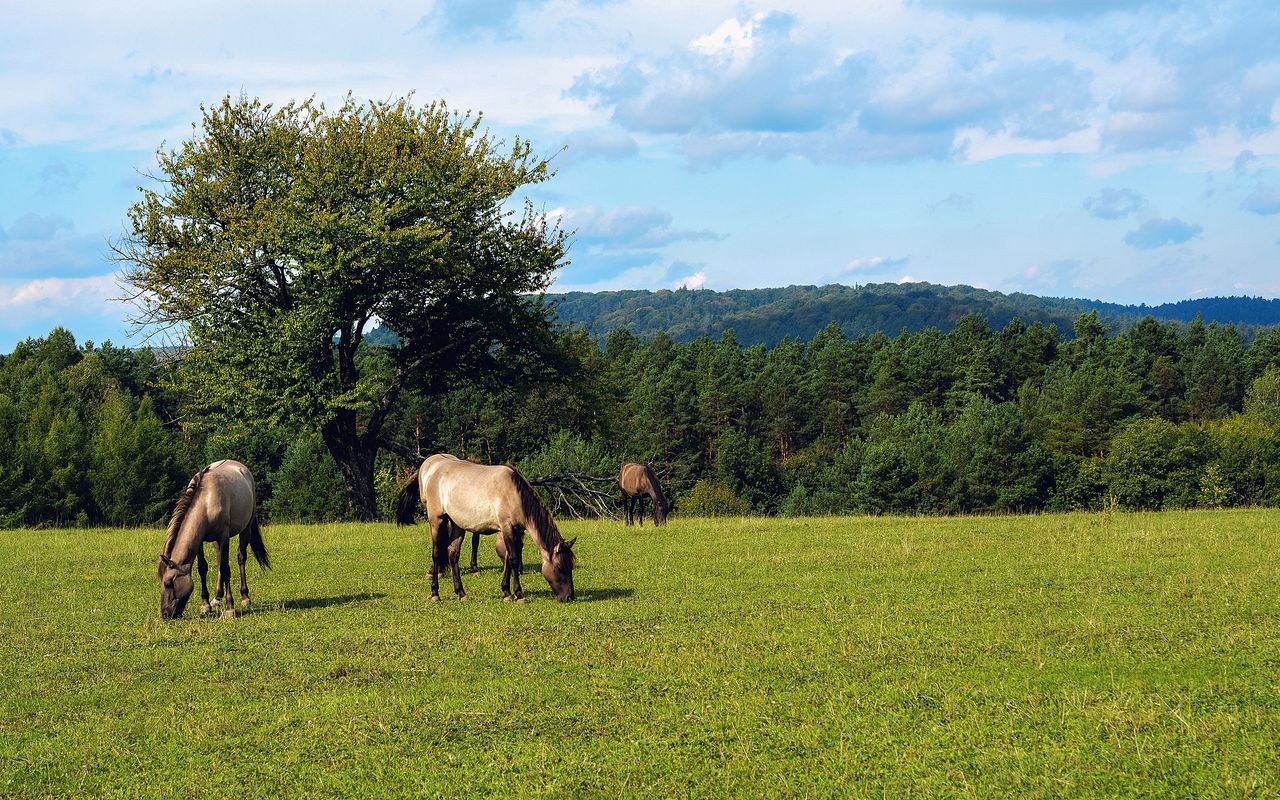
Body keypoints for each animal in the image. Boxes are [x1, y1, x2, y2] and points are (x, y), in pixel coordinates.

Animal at [158, 458, 272, 622]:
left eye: (168, 583)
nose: (166, 614)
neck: (206, 501)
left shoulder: (223, 537)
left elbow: (225, 569)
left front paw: (230, 607)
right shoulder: (200, 541)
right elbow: (203, 568)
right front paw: (206, 605)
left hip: (246, 529)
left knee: (241, 558)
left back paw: (245, 597)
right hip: (216, 542)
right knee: (219, 561)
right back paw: (217, 598)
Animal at [396, 453, 578, 601]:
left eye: (571, 567)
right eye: (560, 568)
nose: (569, 597)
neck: (515, 495)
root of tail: (433, 467)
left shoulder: (513, 531)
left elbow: (507, 559)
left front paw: (506, 592)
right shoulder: (507, 528)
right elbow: (513, 559)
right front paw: (519, 594)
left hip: (457, 524)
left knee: (453, 554)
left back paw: (461, 593)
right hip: (437, 520)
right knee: (436, 554)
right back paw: (435, 593)